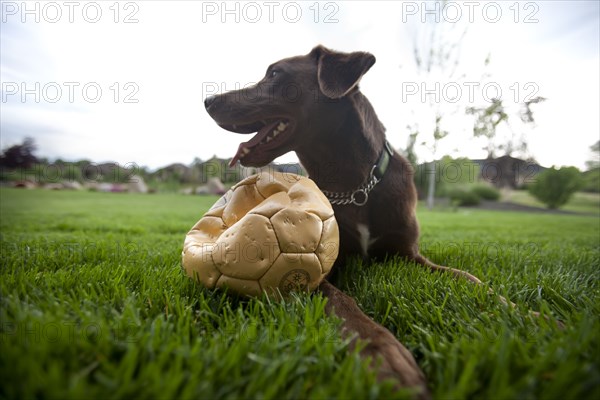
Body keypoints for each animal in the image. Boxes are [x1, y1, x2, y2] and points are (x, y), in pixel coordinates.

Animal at [204, 44, 494, 396]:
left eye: (274, 73)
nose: (208, 100)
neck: (355, 187)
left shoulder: (410, 255)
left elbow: (467, 278)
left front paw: (515, 309)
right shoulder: (316, 269)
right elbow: (344, 304)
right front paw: (384, 354)